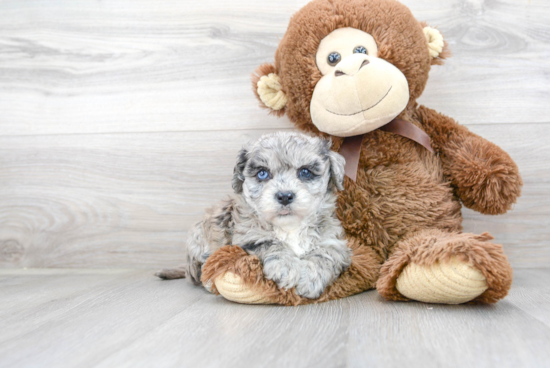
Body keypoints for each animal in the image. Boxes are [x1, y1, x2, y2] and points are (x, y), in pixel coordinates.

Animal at [157, 132, 352, 300]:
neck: (289, 227)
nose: (284, 196)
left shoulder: (333, 241)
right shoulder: (248, 238)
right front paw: (286, 267)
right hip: (198, 235)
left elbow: (324, 255)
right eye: (262, 173)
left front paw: (311, 278)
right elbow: (271, 244)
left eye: (305, 172)